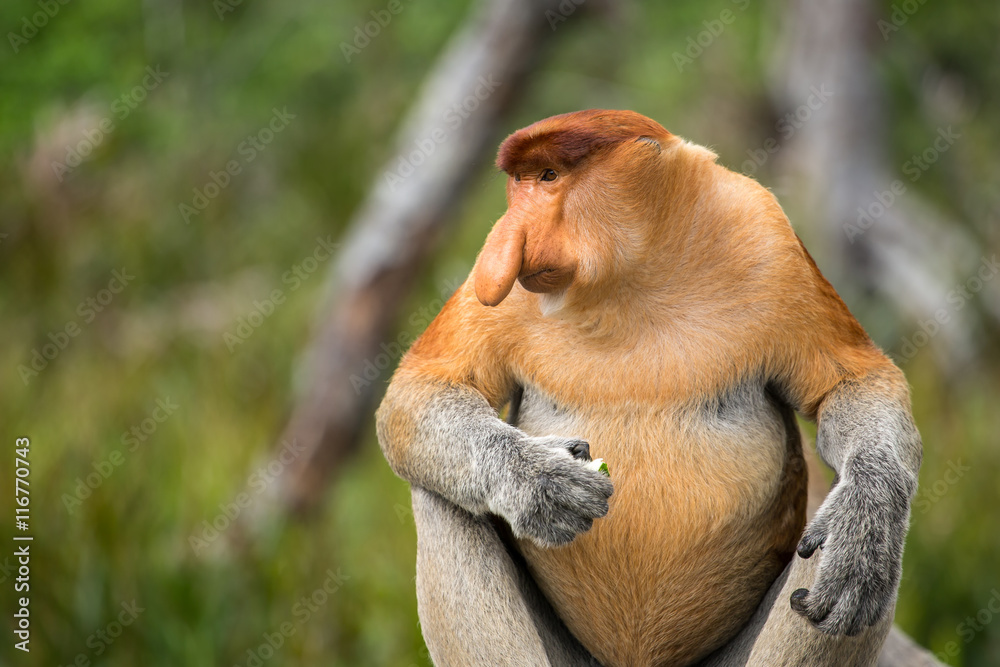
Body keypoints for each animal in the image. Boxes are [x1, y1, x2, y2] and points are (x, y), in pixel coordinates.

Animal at [375, 109, 922, 666]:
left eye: (548, 177)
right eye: (519, 182)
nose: (506, 237)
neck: (633, 273)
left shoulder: (769, 238)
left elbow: (853, 381)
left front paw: (864, 530)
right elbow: (422, 387)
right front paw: (542, 482)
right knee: (440, 501)